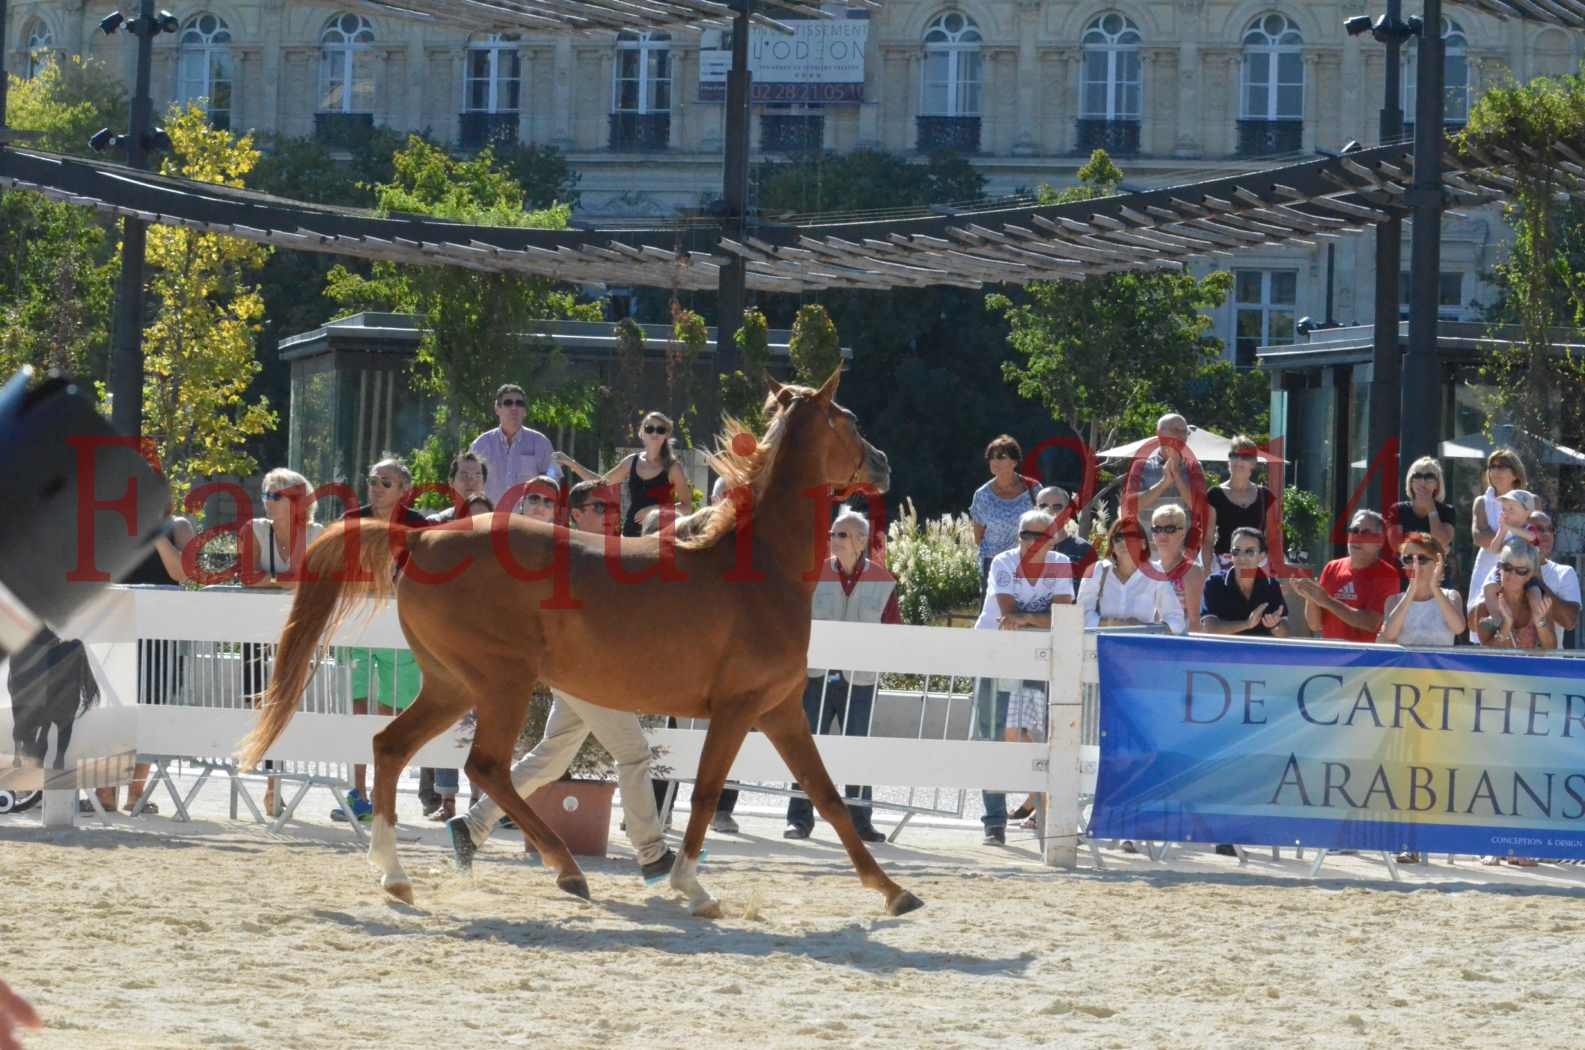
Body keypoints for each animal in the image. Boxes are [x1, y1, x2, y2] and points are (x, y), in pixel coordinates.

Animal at [240, 375, 925, 919]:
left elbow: (829, 796)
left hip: (452, 684)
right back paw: (565, 869)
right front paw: (691, 887)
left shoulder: (780, 709)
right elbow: (705, 793)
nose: (885, 463)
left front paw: (894, 893)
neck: (758, 569)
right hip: (502, 681)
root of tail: (421, 539)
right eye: (850, 420)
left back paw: (396, 877)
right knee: (485, 766)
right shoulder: (737, 709)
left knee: (391, 747)